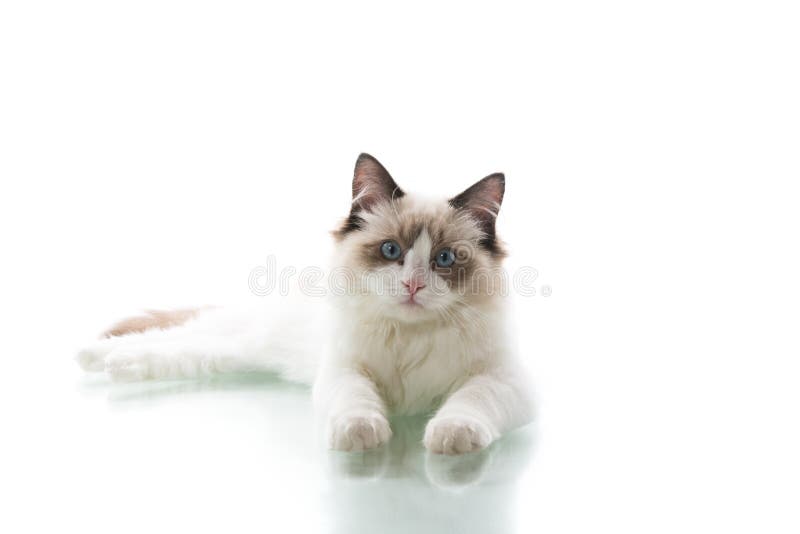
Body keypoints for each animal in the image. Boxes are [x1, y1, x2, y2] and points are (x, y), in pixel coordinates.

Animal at [76, 155, 536, 456]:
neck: (411, 336)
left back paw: (116, 363)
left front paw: (451, 436)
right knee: (173, 333)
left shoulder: (504, 381)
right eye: (391, 250)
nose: (412, 285)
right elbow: (356, 401)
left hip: (237, 352)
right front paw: (361, 434)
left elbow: (471, 402)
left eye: (443, 259)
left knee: (181, 349)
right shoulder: (344, 371)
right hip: (244, 335)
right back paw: (93, 354)